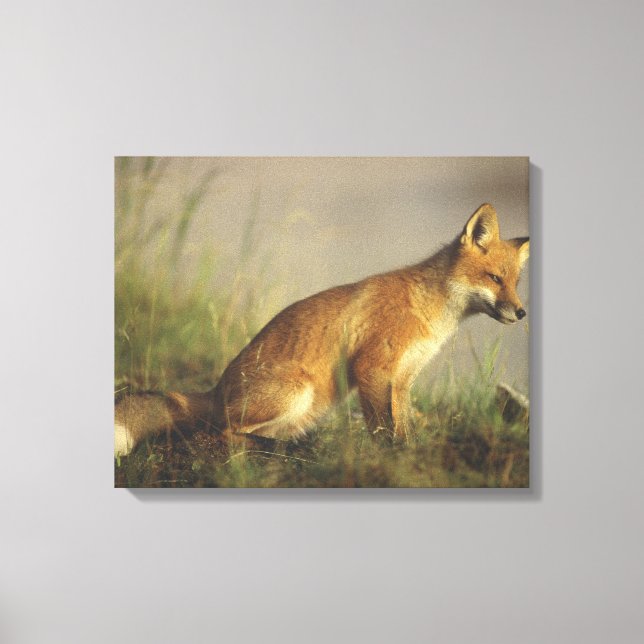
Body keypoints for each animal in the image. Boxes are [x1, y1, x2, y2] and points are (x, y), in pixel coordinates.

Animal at [115, 203, 529, 457]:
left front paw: (408, 452)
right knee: (224, 432)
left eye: (515, 283)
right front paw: (390, 459)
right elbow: (382, 429)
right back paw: (273, 450)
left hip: (307, 408)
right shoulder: (371, 368)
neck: (428, 310)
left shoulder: (402, 379)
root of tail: (215, 390)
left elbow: (404, 425)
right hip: (298, 390)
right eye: (494, 279)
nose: (522, 312)